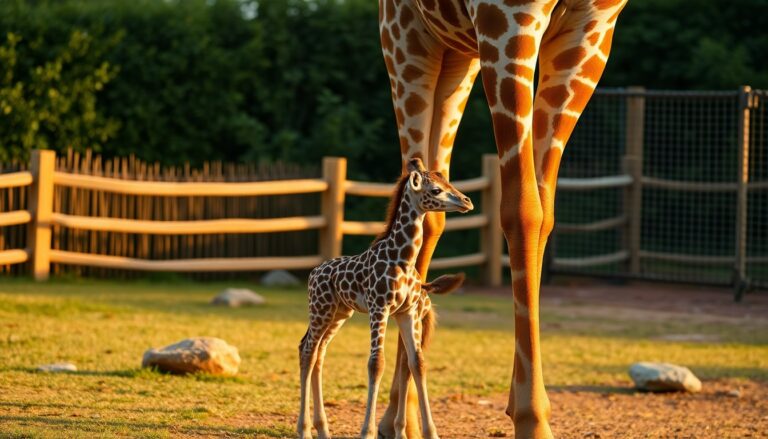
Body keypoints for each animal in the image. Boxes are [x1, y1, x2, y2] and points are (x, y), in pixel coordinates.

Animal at [297, 158, 473, 439]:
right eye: (435, 190)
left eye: (447, 182)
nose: (467, 201)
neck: (403, 258)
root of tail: (313, 273)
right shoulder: (379, 307)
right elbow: (376, 363)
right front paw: (366, 432)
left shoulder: (407, 311)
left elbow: (417, 363)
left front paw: (432, 433)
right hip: (320, 309)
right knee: (307, 350)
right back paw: (303, 430)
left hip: (339, 313)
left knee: (319, 352)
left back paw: (323, 430)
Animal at [376, 0, 628, 438]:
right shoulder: (507, 16)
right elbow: (522, 208)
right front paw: (532, 419)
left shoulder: (591, 27)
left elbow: (544, 211)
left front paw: (525, 407)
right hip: (407, 39)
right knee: (414, 195)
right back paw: (396, 420)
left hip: (457, 55)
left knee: (431, 209)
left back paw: (403, 417)